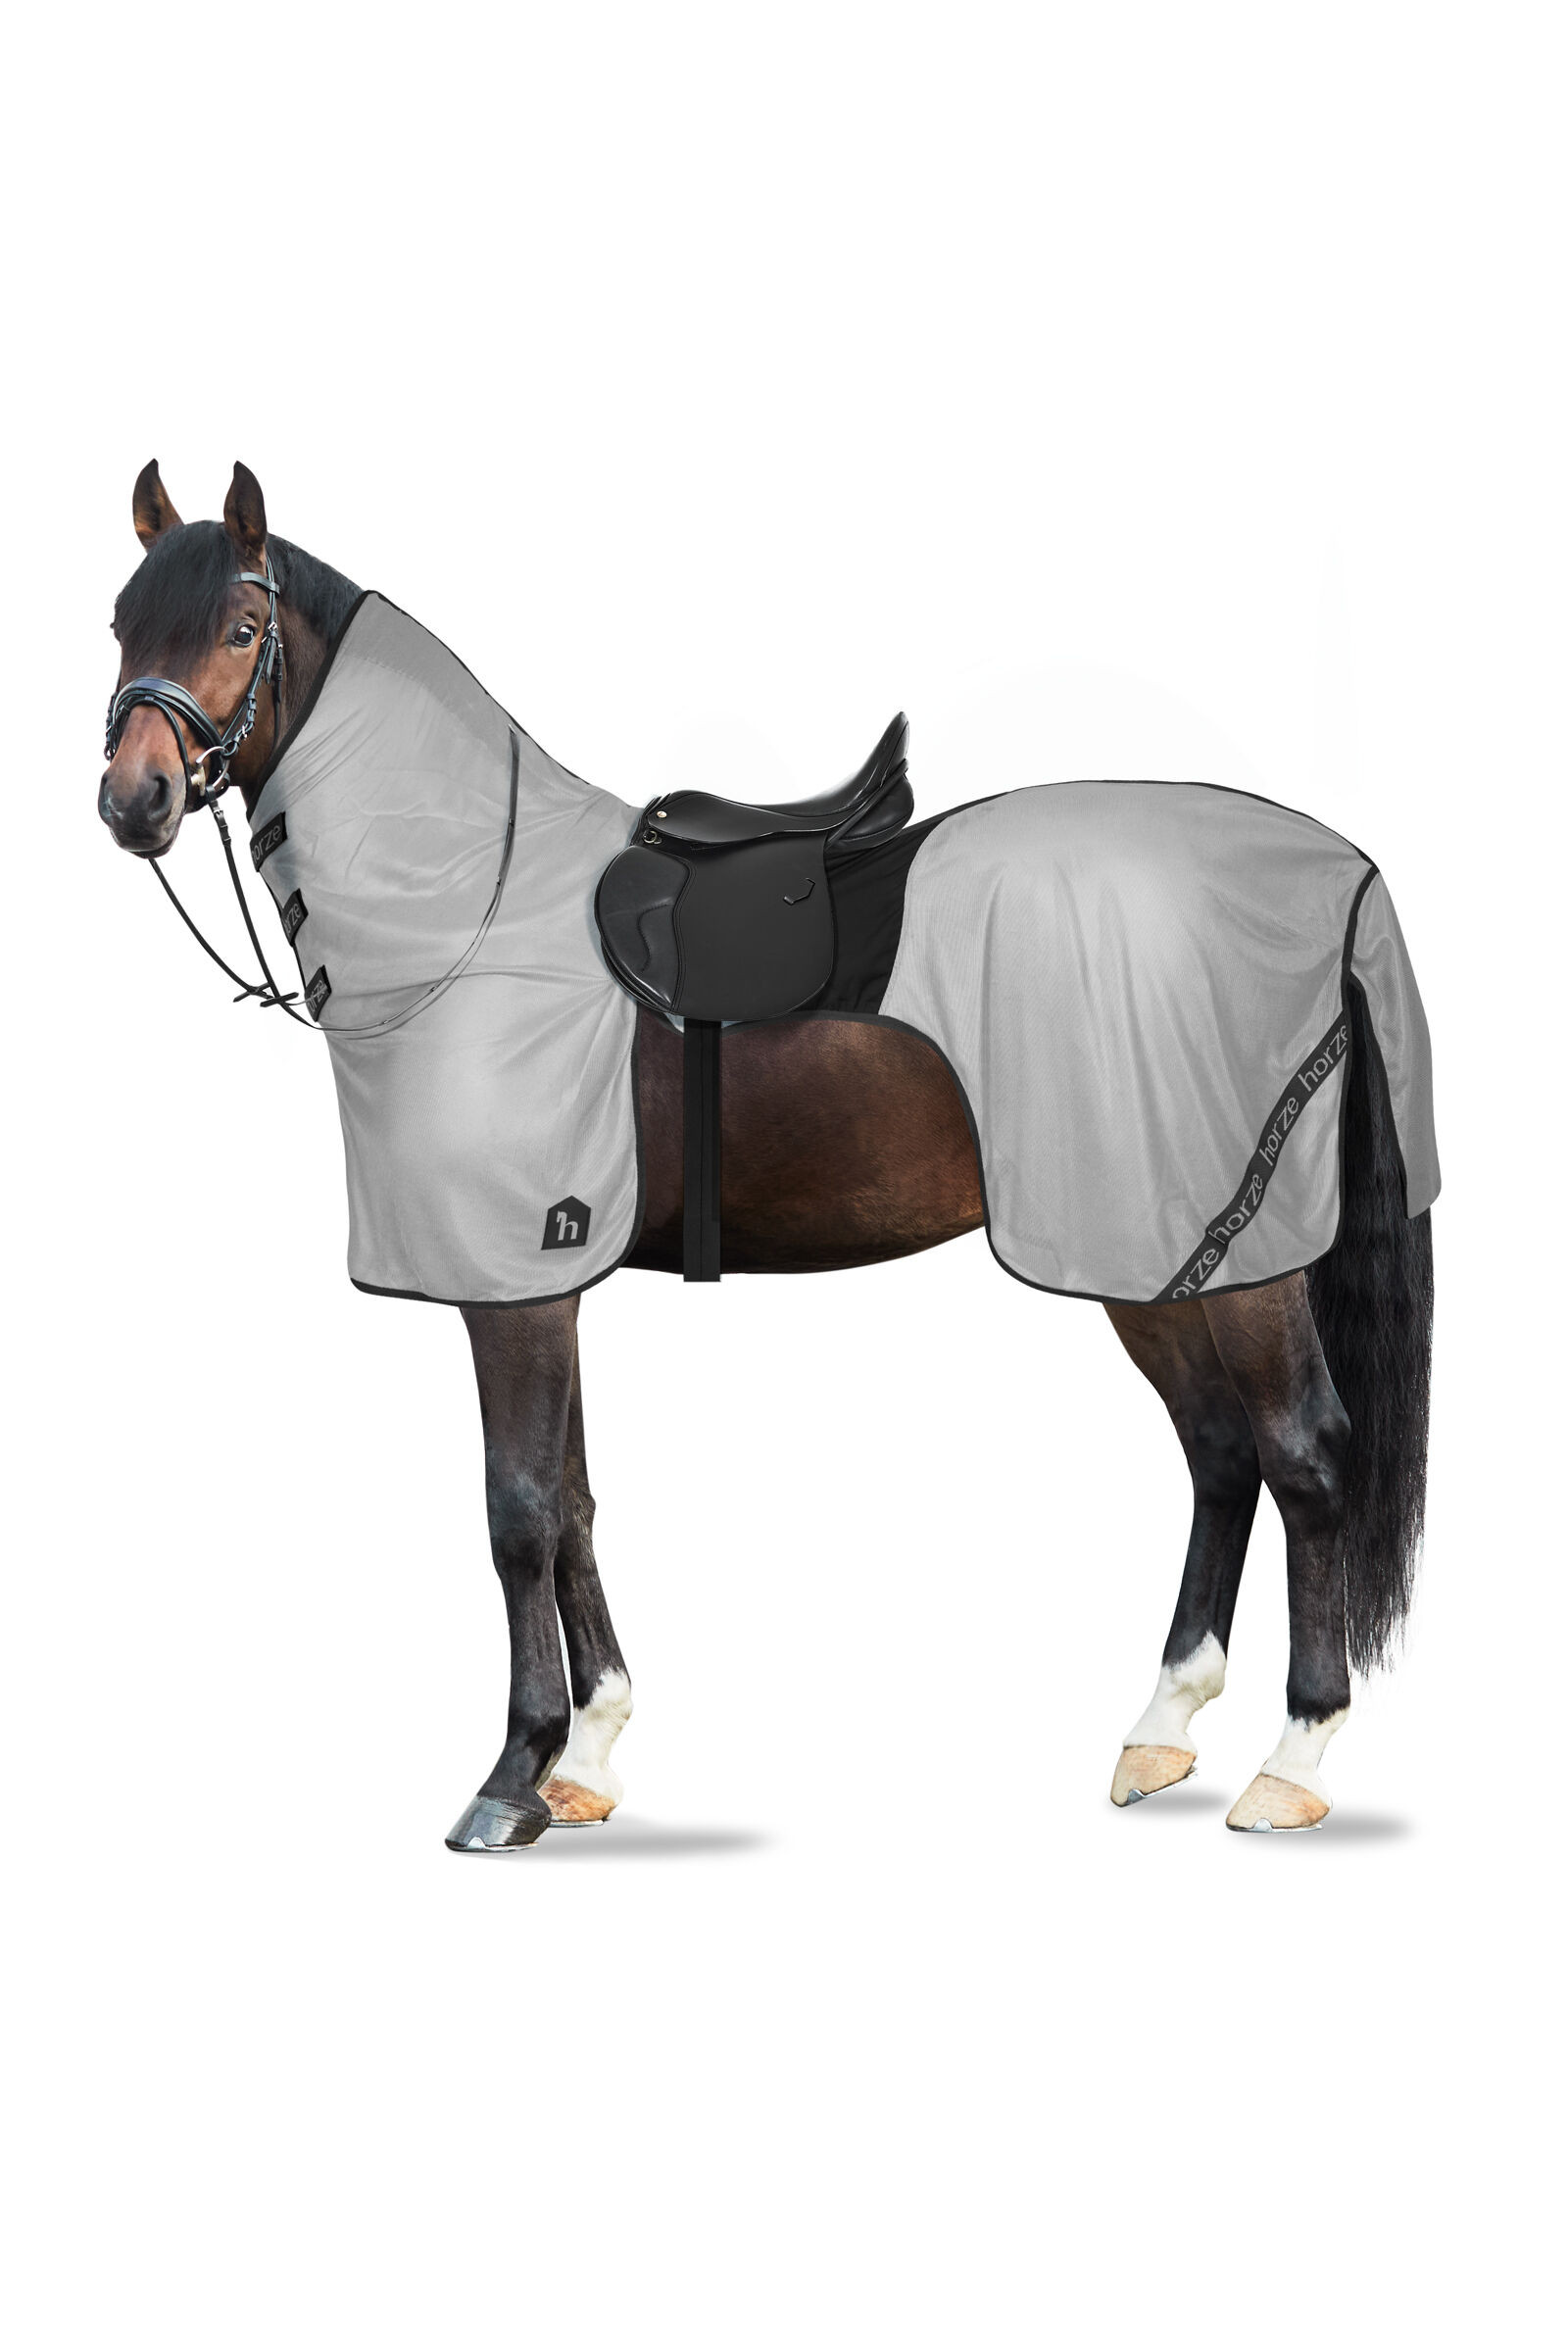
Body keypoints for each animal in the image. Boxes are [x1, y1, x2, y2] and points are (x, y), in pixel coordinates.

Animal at [99, 459, 1435, 1847]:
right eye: (121, 627)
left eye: (238, 630)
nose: (133, 802)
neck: (472, 901)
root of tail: (1340, 872)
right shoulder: (550, 1280)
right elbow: (574, 1501)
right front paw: (589, 1757)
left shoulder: (511, 1284)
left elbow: (518, 1511)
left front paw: (512, 1774)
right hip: (1151, 1251)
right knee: (1221, 1454)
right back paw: (1161, 1730)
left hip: (1235, 1253)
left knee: (1305, 1457)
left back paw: (1293, 1758)